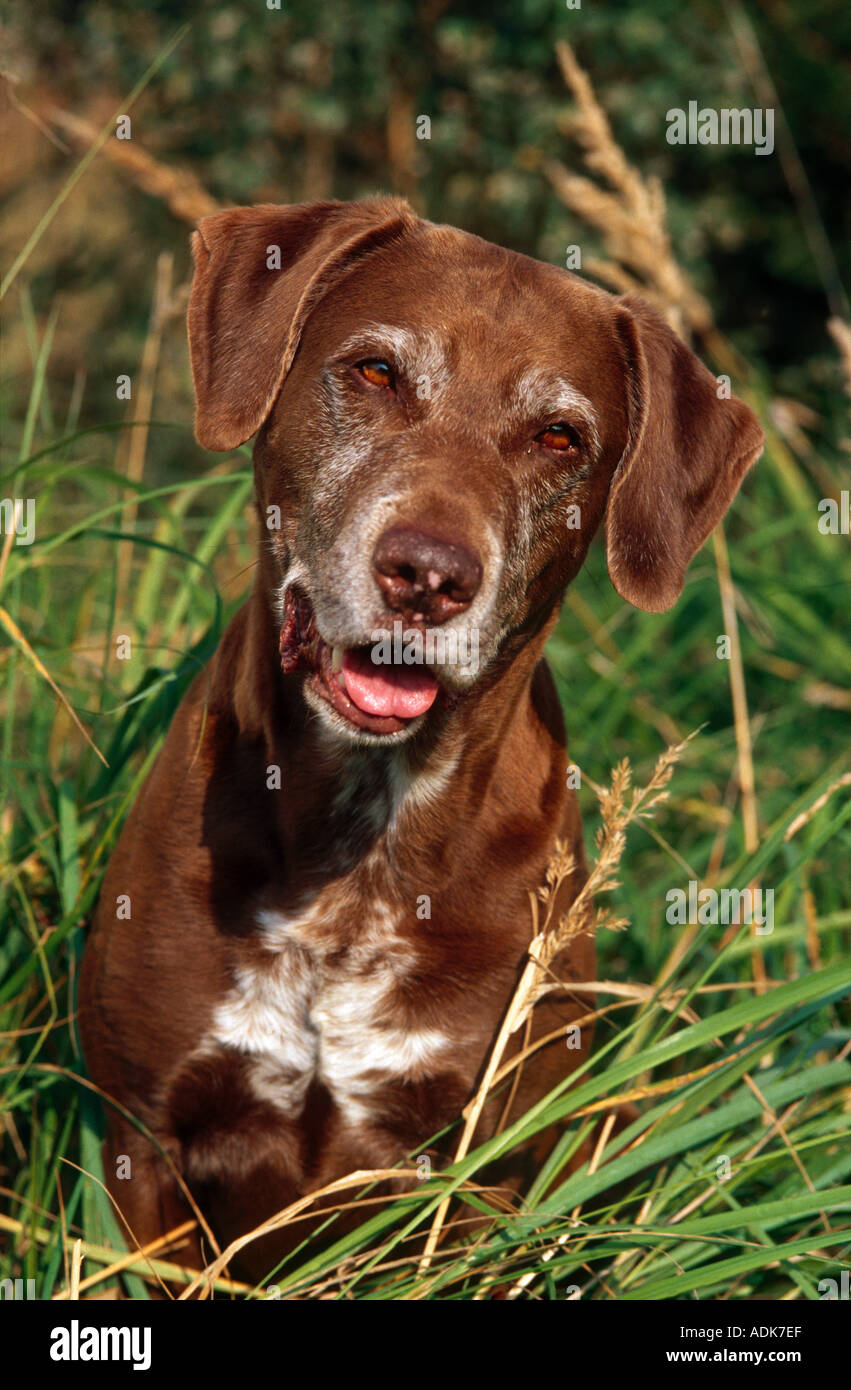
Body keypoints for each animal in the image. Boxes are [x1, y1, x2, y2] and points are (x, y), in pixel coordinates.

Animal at [76, 195, 762, 1278]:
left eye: (559, 436)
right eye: (373, 373)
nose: (430, 575)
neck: (360, 847)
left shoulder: (482, 1177)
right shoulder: (142, 1139)